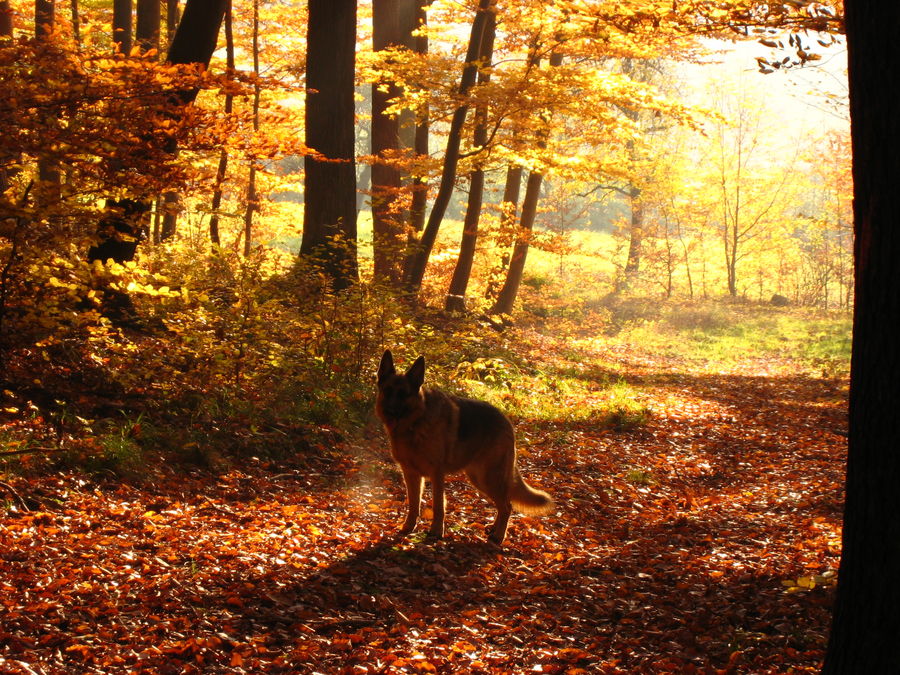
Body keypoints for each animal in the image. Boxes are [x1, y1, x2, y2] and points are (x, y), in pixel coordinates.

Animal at [376, 352, 552, 548]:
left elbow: (438, 505)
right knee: (502, 504)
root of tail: (506, 420)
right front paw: (408, 527)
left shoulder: (436, 474)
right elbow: (413, 504)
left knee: (507, 505)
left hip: (489, 477)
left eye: (403, 394)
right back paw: (494, 529)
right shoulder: (411, 474)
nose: (389, 411)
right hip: (479, 478)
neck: (415, 423)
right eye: (387, 391)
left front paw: (436, 532)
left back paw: (498, 536)